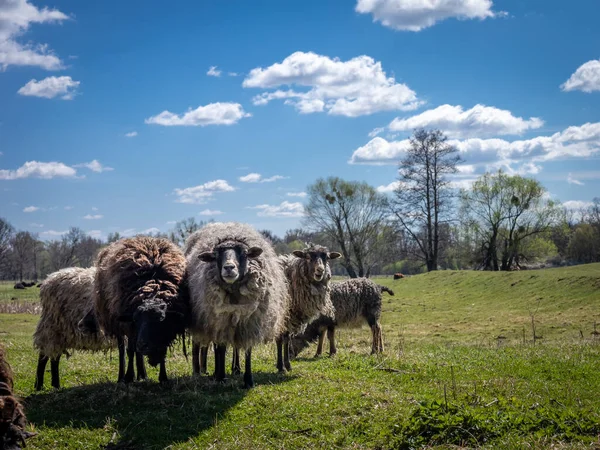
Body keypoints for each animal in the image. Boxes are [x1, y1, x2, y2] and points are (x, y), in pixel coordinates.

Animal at [185, 221, 288, 386]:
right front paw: (220, 377)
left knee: (235, 347)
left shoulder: (250, 322)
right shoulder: (220, 320)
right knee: (204, 344)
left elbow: (247, 350)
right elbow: (220, 348)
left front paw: (248, 380)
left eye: (244, 254)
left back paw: (235, 369)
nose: (229, 267)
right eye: (216, 255)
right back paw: (202, 371)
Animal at [276, 243, 340, 372]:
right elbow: (280, 339)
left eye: (327, 258)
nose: (320, 270)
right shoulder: (281, 316)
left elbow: (286, 338)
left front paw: (287, 365)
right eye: (308, 257)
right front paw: (281, 367)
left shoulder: (290, 317)